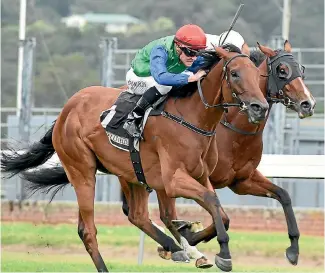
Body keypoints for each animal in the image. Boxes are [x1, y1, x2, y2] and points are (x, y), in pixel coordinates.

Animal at [1, 43, 268, 270]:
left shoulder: (201, 176)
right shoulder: (173, 180)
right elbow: (211, 202)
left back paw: (174, 247)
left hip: (132, 172)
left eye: (257, 75)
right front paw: (220, 253)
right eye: (234, 73)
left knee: (137, 215)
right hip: (82, 171)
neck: (192, 118)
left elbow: (220, 211)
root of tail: (65, 112)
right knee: (88, 230)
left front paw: (191, 236)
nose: (260, 107)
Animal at [122, 41, 314, 268]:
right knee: (161, 214)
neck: (234, 129)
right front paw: (193, 239)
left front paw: (293, 248)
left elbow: (283, 195)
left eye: (301, 69)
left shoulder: (242, 180)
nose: (308, 103)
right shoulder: (200, 176)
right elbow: (220, 215)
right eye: (282, 70)